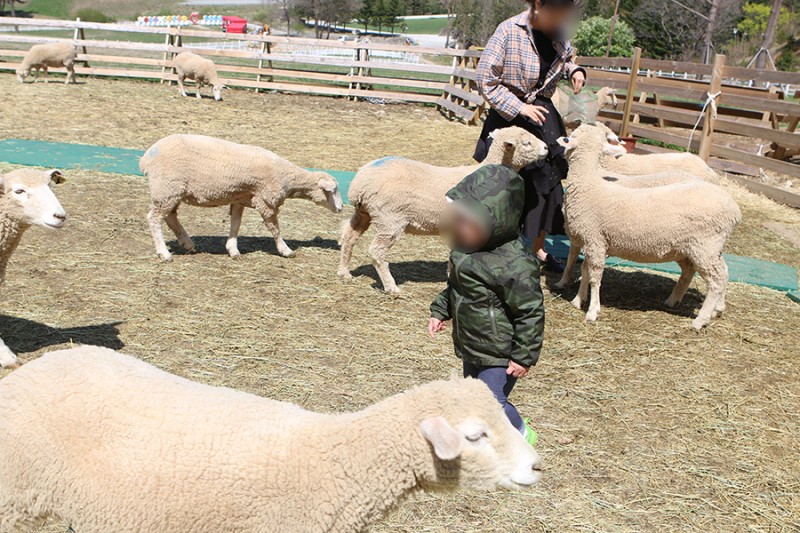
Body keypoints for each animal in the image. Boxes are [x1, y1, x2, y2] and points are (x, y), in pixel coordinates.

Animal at [140, 132, 344, 260]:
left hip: (171, 192)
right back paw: (164, 253)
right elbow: (275, 229)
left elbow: (236, 224)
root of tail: (146, 158)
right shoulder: (266, 201)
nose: (341, 208)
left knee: (170, 217)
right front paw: (286, 250)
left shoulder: (240, 198)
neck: (286, 176)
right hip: (167, 189)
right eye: (333, 190)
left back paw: (187, 243)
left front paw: (233, 250)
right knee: (154, 218)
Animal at [338, 127, 552, 294]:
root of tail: (360, 183)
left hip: (364, 213)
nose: (546, 148)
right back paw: (392, 288)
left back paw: (344, 273)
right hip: (389, 219)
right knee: (376, 251)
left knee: (348, 237)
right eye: (526, 143)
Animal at [552, 125, 740, 330]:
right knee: (703, 271)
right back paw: (682, 302)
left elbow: (594, 275)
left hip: (705, 246)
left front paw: (592, 311)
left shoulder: (595, 240)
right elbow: (585, 270)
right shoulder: (590, 240)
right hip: (692, 248)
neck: (588, 184)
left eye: (572, 136)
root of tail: (734, 209)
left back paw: (701, 319)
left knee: (717, 279)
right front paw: (578, 300)